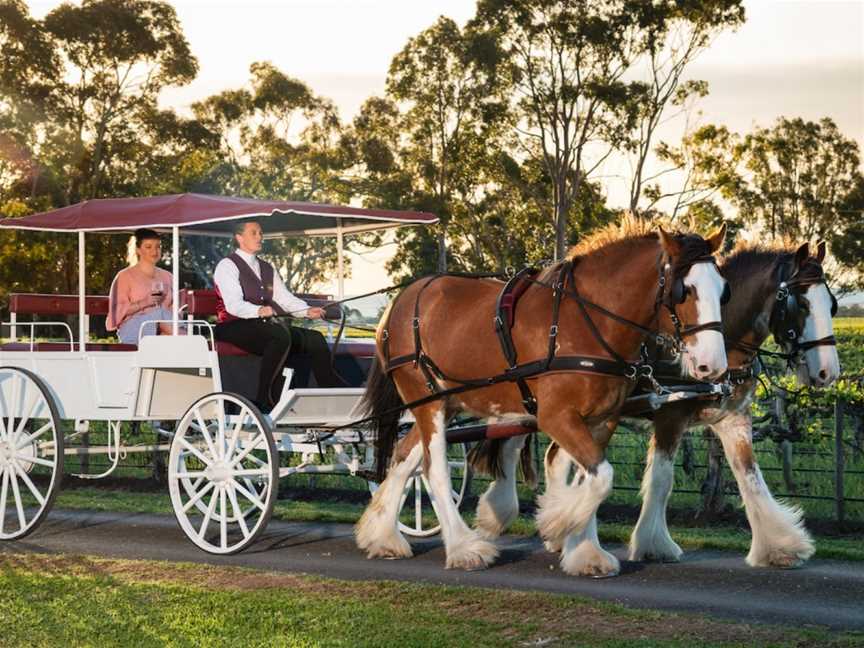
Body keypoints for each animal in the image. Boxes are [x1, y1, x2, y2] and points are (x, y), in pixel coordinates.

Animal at [358, 224, 728, 576]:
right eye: (685, 291)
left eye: (722, 289)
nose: (713, 366)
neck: (587, 322)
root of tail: (400, 302)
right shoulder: (556, 416)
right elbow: (601, 477)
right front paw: (557, 520)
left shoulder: (601, 420)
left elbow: (590, 478)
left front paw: (584, 550)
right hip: (426, 399)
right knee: (433, 468)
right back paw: (464, 548)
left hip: (445, 402)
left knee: (404, 457)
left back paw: (382, 535)